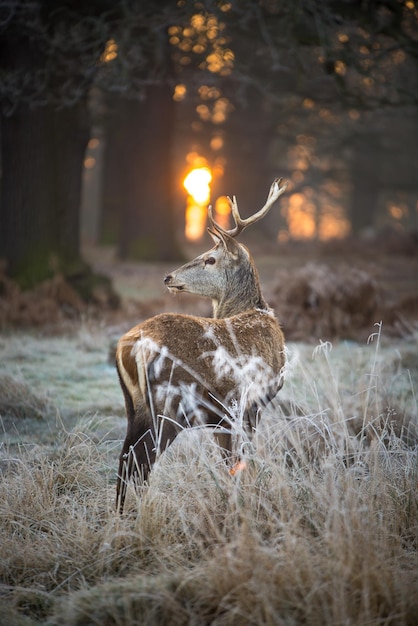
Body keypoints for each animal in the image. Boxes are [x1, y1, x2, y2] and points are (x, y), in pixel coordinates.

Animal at [116, 174, 290, 508]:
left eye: (210, 258)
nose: (168, 277)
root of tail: (130, 348)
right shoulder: (251, 404)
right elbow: (243, 461)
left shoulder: (222, 419)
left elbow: (228, 464)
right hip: (169, 405)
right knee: (142, 463)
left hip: (134, 406)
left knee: (124, 458)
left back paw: (118, 516)